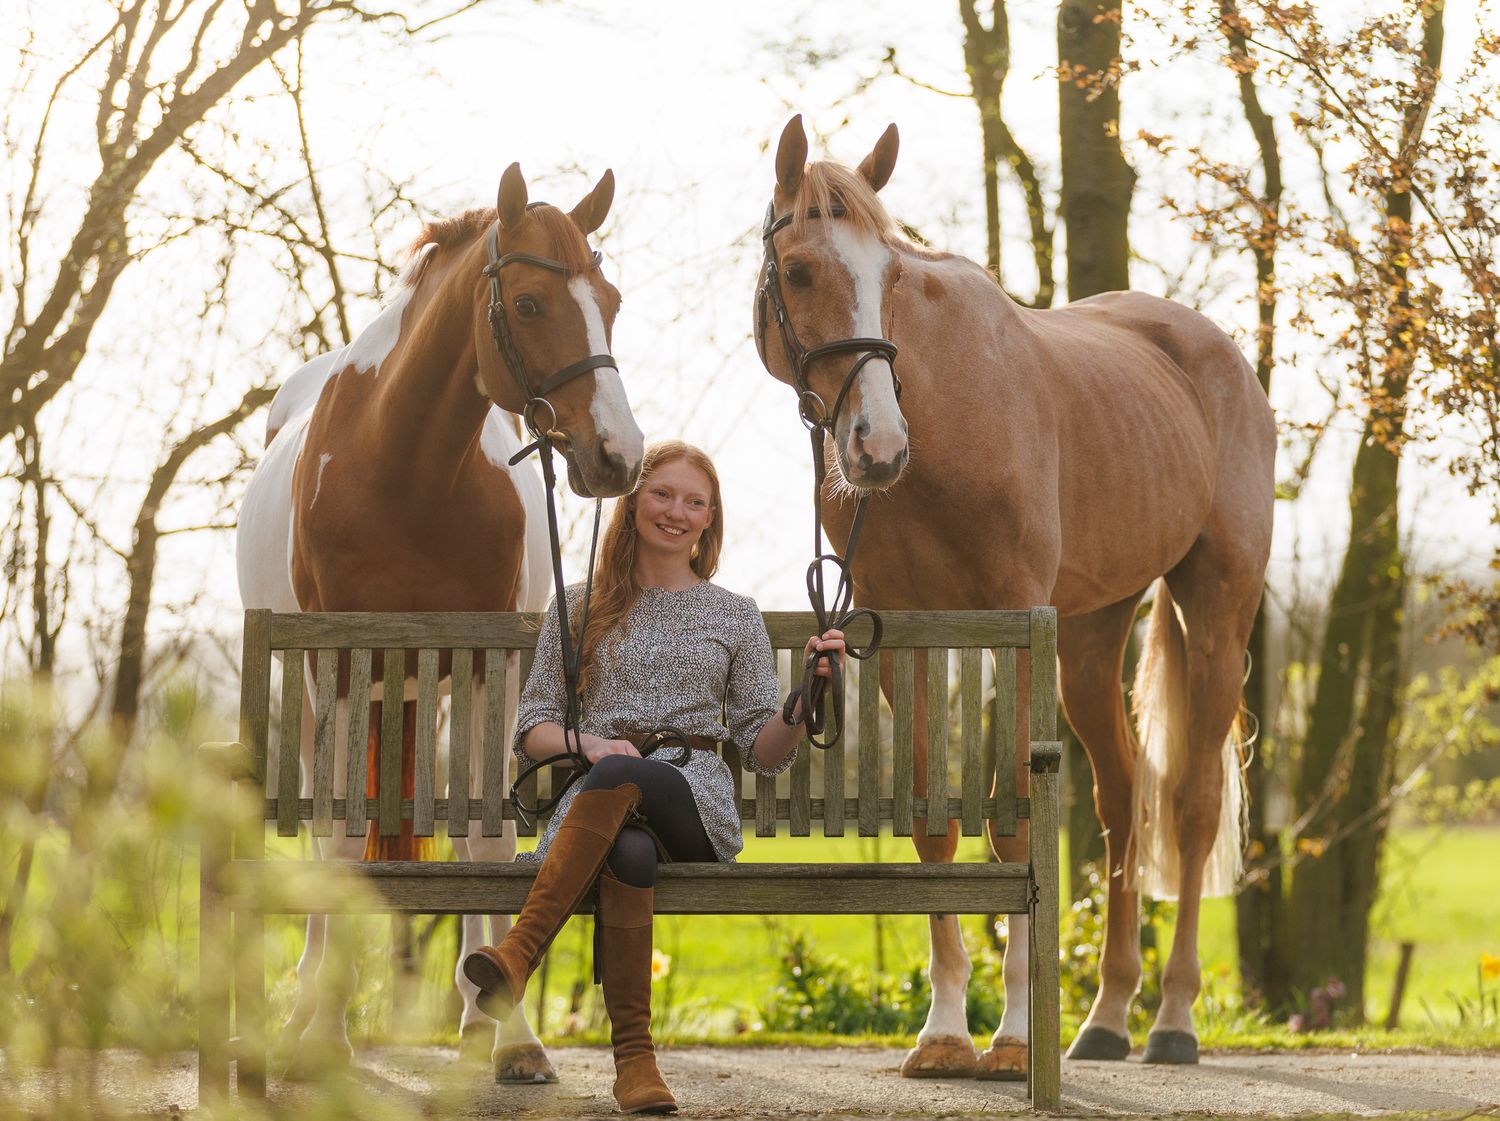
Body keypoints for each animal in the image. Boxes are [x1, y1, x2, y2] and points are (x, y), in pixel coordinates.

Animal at [236, 163, 645, 1080]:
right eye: (528, 302)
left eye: (610, 298)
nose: (619, 456)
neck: (403, 471)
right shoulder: (339, 666)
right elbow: (338, 840)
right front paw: (325, 1032)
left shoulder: (489, 667)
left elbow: (486, 841)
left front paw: (515, 1034)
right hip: (318, 691)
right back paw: (306, 1007)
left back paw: (471, 1015)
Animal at [753, 116, 1274, 1076]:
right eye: (800, 270)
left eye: (890, 275)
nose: (876, 445)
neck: (944, 425)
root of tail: (1215, 352)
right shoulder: (904, 634)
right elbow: (934, 820)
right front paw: (944, 1031)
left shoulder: (1011, 626)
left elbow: (1017, 830)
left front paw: (1016, 1032)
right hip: (1092, 638)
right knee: (1119, 802)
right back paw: (1105, 1016)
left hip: (1216, 610)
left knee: (1188, 806)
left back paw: (1172, 1019)